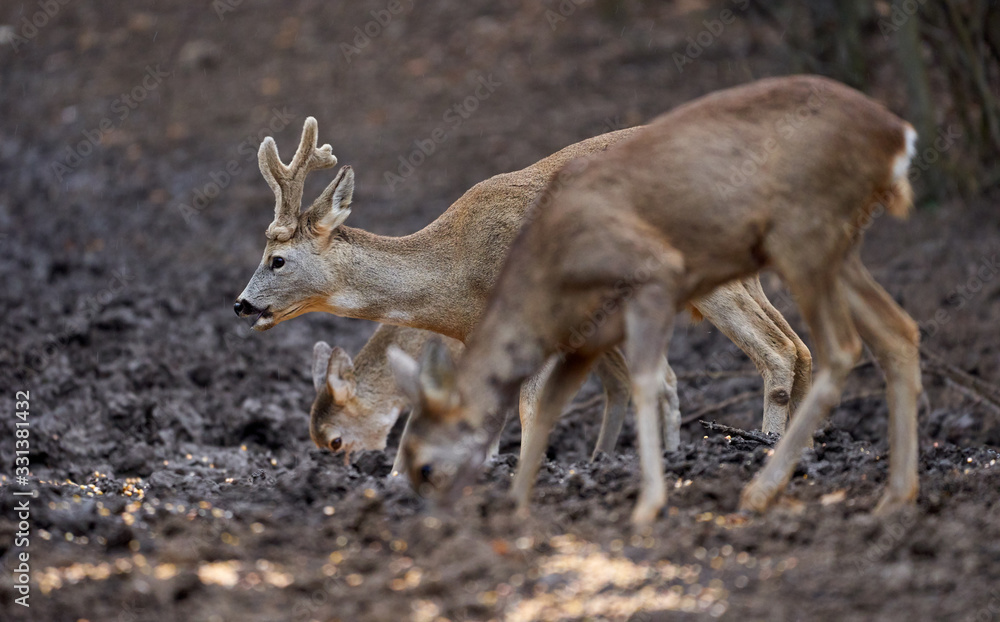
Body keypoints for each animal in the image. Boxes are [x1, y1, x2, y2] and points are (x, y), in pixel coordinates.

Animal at [234, 116, 812, 472]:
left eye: (277, 259)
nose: (240, 304)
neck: (456, 278)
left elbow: (528, 414)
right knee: (802, 348)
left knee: (778, 351)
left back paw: (766, 452)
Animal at [388, 75, 921, 525]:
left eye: (425, 466)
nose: (432, 511)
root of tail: (898, 135)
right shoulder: (586, 337)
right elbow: (558, 402)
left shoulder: (647, 282)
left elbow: (632, 384)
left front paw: (646, 501)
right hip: (828, 253)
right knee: (888, 334)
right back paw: (884, 492)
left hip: (795, 242)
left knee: (811, 349)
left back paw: (761, 483)